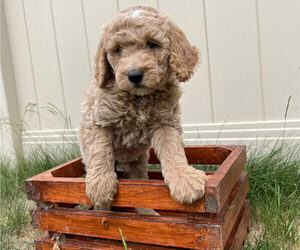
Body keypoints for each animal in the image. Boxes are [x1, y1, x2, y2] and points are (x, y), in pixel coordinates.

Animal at [78, 5, 207, 213]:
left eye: (152, 44)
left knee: (138, 184)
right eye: (118, 49)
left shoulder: (165, 122)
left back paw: (148, 212)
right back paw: (101, 212)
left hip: (138, 159)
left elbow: (173, 150)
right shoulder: (98, 120)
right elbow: (99, 150)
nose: (134, 75)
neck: (139, 99)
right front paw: (100, 186)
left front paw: (184, 180)